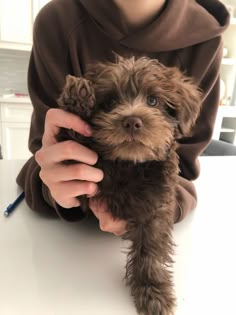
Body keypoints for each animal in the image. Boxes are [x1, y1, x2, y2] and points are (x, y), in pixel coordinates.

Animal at [56, 56, 201, 315]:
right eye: (111, 102)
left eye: (153, 100)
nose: (132, 121)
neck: (129, 164)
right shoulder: (82, 172)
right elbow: (72, 142)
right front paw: (77, 99)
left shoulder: (156, 206)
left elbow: (150, 248)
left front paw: (152, 290)